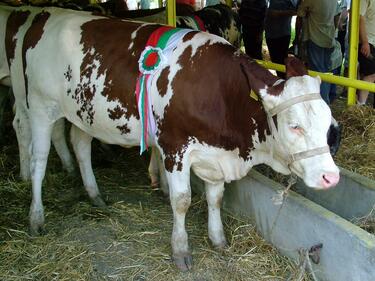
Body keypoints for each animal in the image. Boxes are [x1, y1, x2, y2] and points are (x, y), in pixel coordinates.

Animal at [0, 5, 340, 270]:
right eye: (294, 126)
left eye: (327, 123)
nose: (331, 177)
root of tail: (43, 14)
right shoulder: (175, 147)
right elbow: (182, 200)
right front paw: (180, 249)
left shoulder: (215, 153)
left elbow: (216, 197)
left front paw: (218, 239)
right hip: (39, 106)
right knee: (38, 158)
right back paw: (36, 216)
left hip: (84, 113)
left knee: (81, 146)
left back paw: (94, 194)